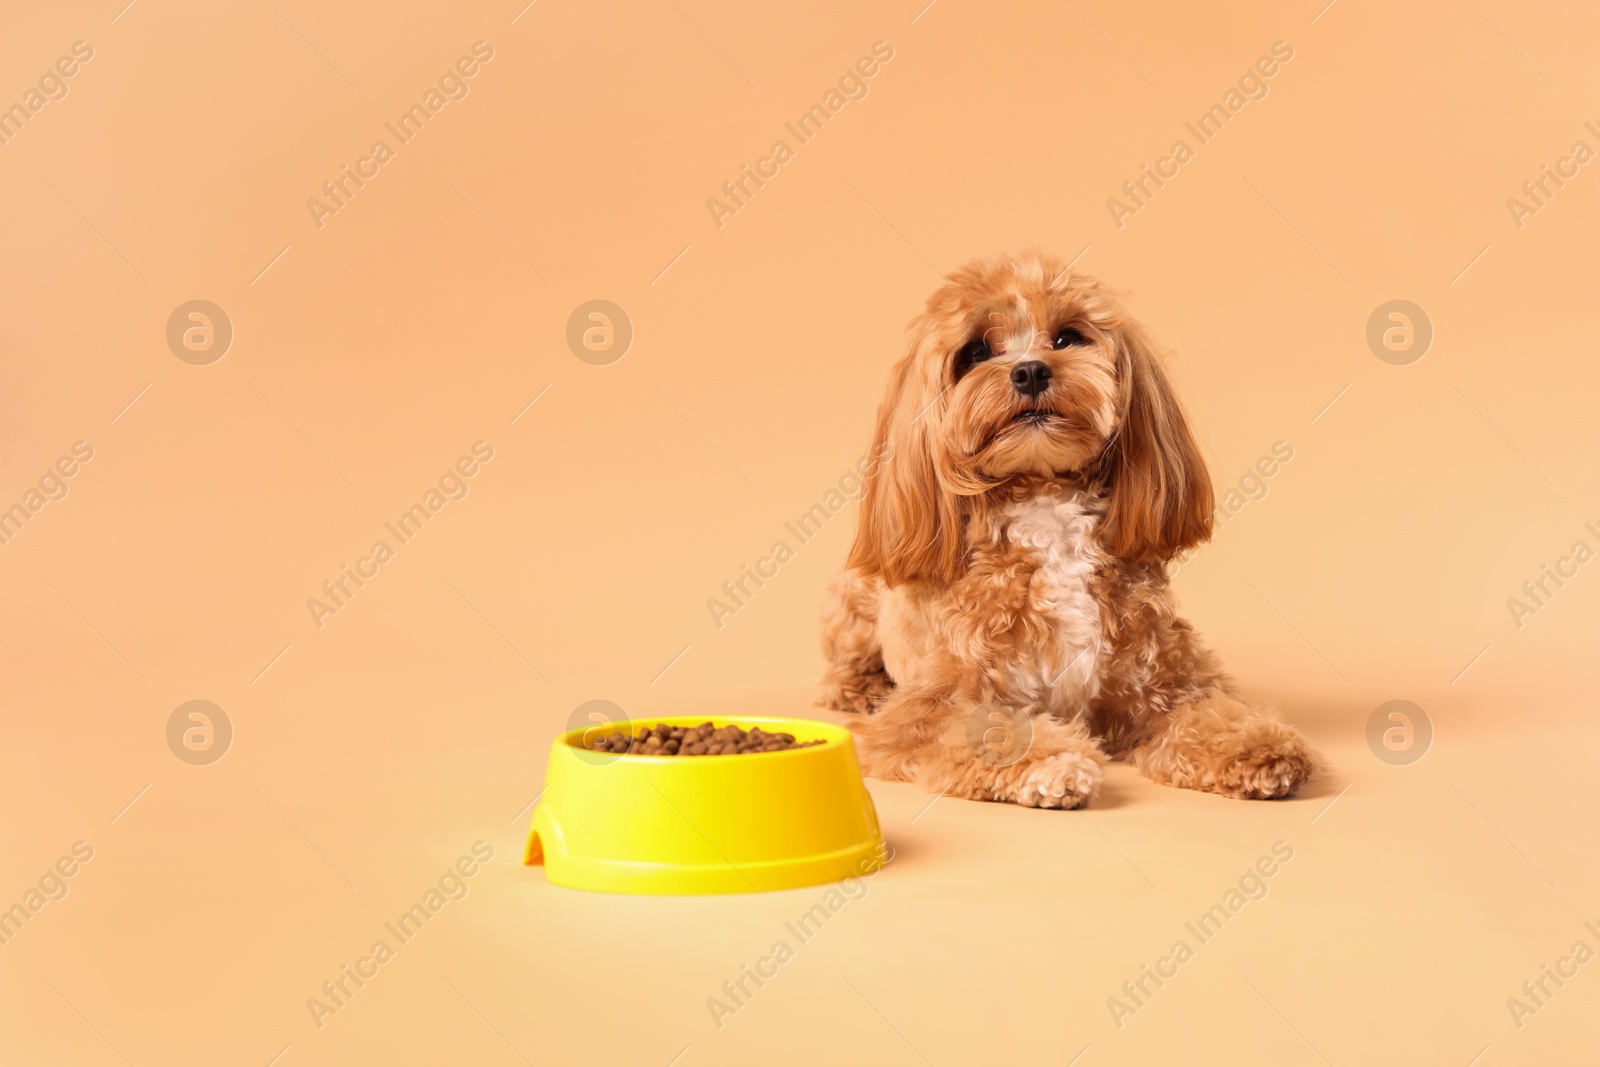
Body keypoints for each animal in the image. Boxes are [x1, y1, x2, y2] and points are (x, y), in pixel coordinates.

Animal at [819, 251, 1318, 809]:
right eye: (975, 352)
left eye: (1066, 338)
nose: (1031, 370)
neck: (1046, 506)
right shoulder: (929, 707)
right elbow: (986, 727)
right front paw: (1055, 761)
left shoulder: (1164, 682)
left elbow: (1205, 713)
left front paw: (1254, 745)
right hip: (853, 598)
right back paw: (862, 687)